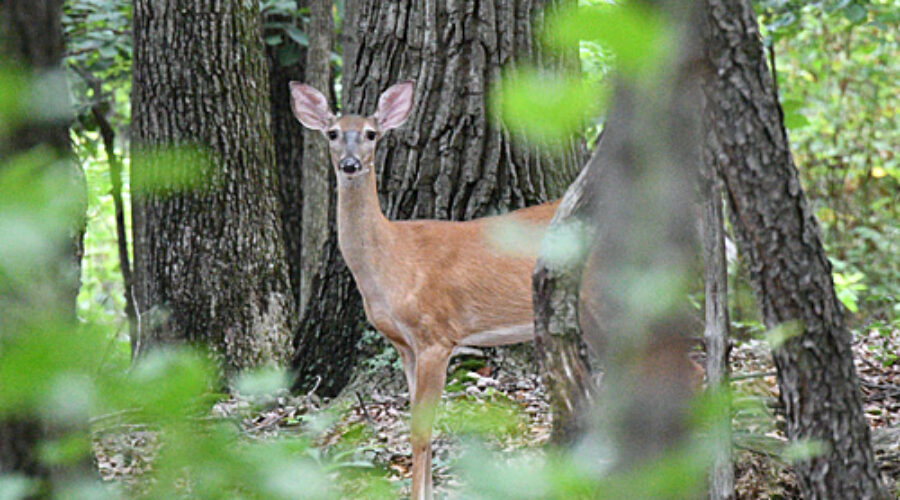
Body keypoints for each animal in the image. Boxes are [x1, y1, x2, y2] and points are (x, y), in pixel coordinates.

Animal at [289, 80, 559, 499]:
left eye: (371, 133)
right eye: (332, 133)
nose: (350, 164)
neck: (392, 261)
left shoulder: (436, 334)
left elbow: (421, 429)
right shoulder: (404, 344)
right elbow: (419, 426)